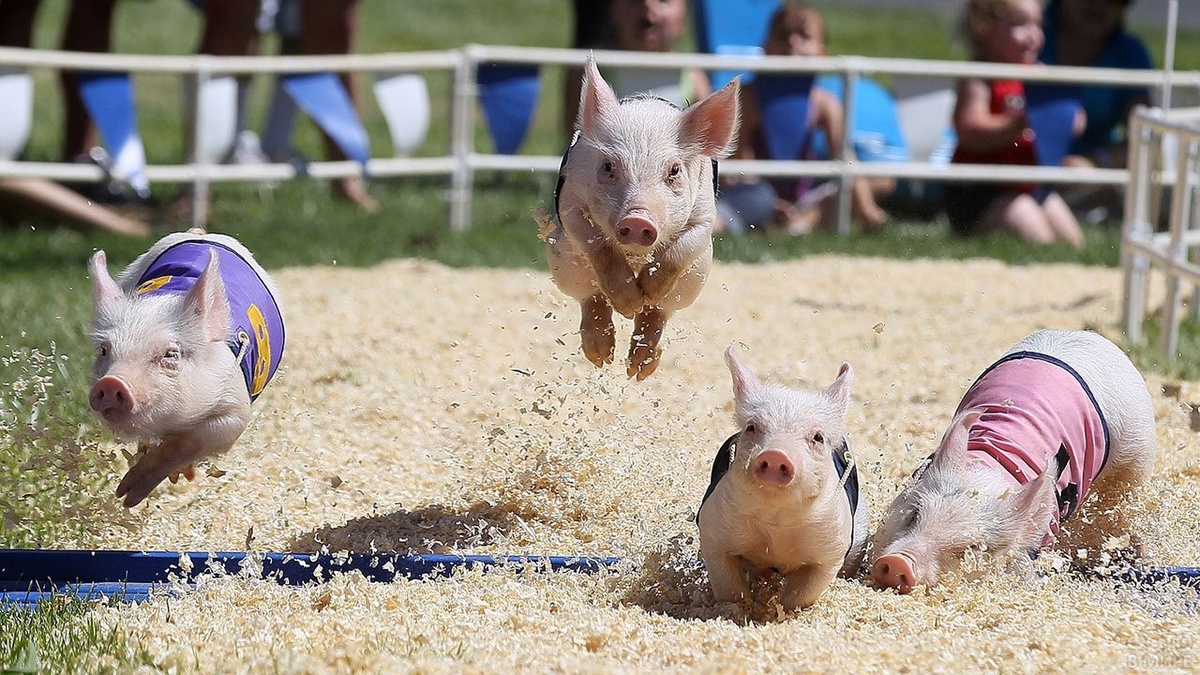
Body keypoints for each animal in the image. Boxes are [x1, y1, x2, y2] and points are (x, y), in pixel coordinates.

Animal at [87, 230, 285, 504]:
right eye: (105, 350)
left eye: (171, 353)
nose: (111, 382)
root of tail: (200, 233)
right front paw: (125, 494)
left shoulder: (234, 403)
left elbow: (201, 437)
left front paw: (130, 494)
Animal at [537, 55, 739, 381]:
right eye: (608, 166)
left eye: (674, 170)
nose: (637, 220)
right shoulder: (571, 202)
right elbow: (596, 243)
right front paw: (630, 303)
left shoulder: (705, 214)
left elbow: (682, 248)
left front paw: (646, 293)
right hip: (562, 260)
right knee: (590, 298)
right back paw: (602, 358)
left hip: (695, 277)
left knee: (659, 313)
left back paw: (638, 369)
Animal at [700, 345, 868, 610]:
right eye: (751, 427)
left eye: (818, 437)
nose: (775, 453)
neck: (776, 523)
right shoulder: (713, 531)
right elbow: (728, 585)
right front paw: (739, 609)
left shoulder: (831, 548)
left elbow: (803, 592)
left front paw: (784, 610)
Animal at [868, 329, 1156, 590]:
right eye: (914, 514)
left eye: (974, 548)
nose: (898, 562)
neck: (994, 467)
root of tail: (1099, 340)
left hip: (1136, 457)